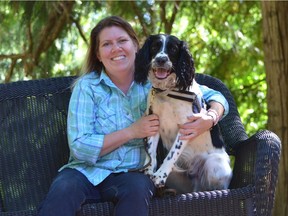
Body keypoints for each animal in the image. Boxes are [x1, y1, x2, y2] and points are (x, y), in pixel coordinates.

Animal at [134, 34, 232, 193]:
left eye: (173, 49)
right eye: (155, 46)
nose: (161, 59)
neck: (167, 92)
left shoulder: (187, 128)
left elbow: (172, 155)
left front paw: (160, 176)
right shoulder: (153, 122)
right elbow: (151, 154)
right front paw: (149, 173)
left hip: (214, 166)